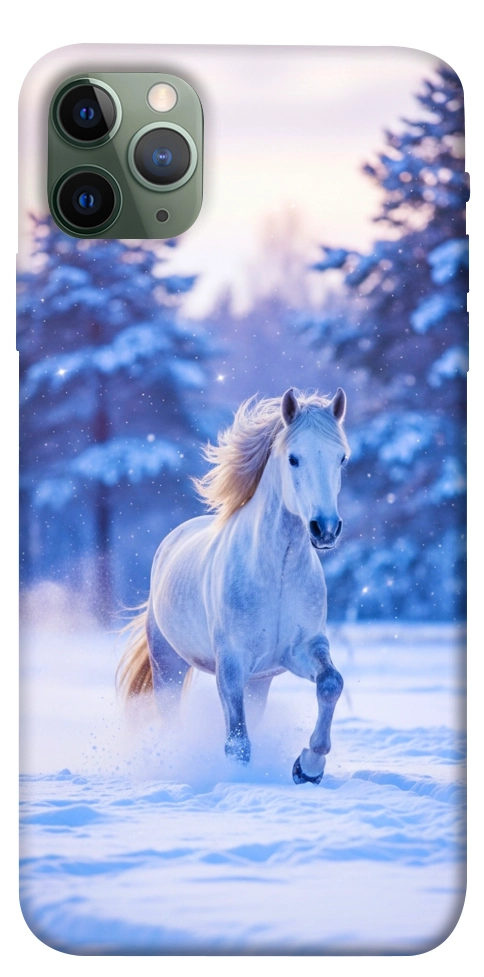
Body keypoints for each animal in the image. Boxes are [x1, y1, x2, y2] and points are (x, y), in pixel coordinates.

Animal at [118, 387, 350, 784]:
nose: (325, 529)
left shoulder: (301, 649)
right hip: (168, 665)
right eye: (294, 458)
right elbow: (237, 742)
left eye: (341, 459)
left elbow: (331, 683)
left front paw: (308, 767)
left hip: (259, 682)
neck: (277, 573)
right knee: (170, 717)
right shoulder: (231, 664)